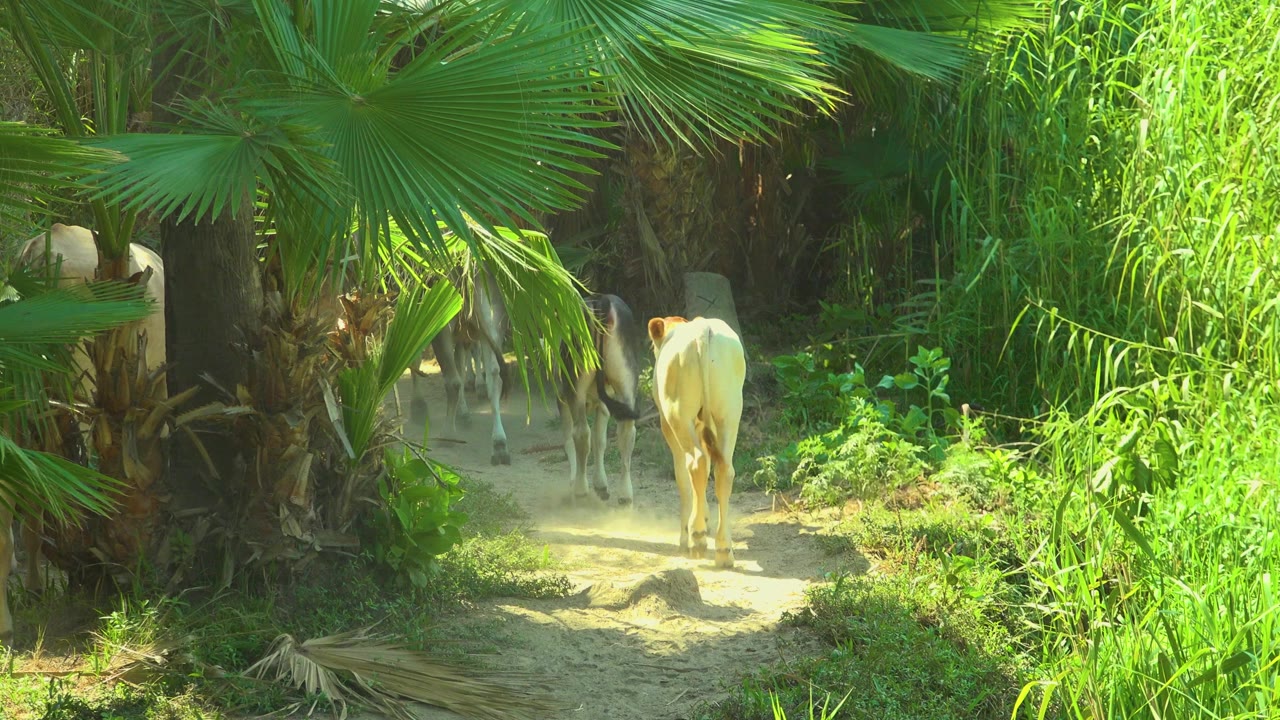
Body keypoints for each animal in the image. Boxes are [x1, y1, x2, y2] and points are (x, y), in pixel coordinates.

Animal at [409, 269, 512, 465]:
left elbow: (414, 359)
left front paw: (419, 408)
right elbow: (462, 363)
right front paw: (463, 414)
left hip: (443, 320)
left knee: (453, 381)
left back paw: (447, 435)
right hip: (492, 314)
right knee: (494, 375)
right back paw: (499, 445)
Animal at [557, 294, 643, 505]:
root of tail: (602, 301)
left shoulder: (561, 397)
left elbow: (569, 439)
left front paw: (577, 481)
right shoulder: (603, 403)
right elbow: (600, 439)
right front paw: (601, 485)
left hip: (575, 385)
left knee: (580, 433)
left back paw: (580, 489)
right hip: (626, 379)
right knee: (627, 431)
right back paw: (625, 495)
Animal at [647, 315, 746, 569]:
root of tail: (703, 327)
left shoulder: (667, 425)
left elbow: (682, 478)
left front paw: (686, 534)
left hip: (678, 415)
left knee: (695, 463)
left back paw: (697, 538)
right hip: (729, 413)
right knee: (724, 470)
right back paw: (723, 549)